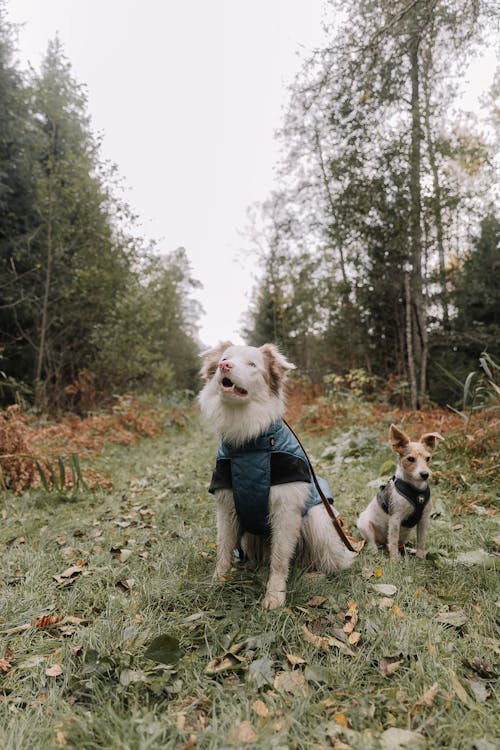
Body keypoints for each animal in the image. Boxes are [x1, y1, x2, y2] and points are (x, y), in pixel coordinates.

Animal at [197, 344, 358, 612]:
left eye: (252, 364)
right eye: (225, 358)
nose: (224, 366)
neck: (249, 445)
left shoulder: (286, 510)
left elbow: (280, 559)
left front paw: (275, 596)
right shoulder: (227, 507)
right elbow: (224, 549)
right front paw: (217, 583)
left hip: (318, 519)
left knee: (327, 560)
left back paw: (315, 574)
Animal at [358, 426, 444, 560]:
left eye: (428, 458)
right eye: (410, 459)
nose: (425, 474)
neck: (415, 490)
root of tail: (382, 543)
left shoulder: (423, 519)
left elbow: (421, 541)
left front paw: (420, 557)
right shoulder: (395, 519)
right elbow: (393, 541)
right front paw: (395, 560)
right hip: (364, 525)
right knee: (373, 543)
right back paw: (375, 552)